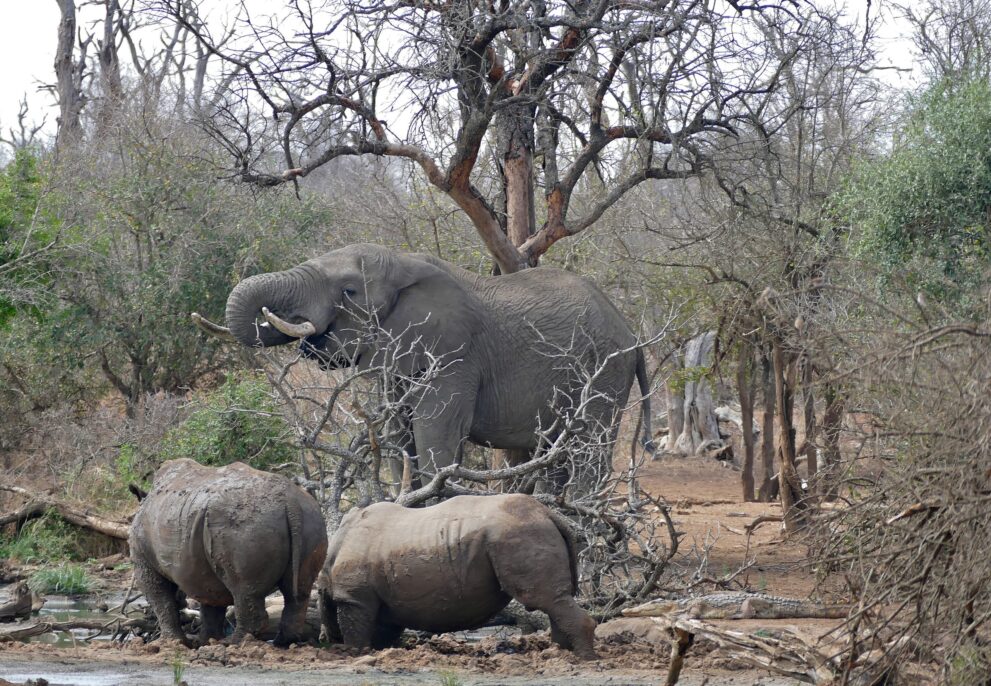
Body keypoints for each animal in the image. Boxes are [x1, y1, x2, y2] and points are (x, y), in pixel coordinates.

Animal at [129, 459, 328, 646]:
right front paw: (207, 641)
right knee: (297, 591)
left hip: (245, 527)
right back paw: (282, 642)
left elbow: (160, 599)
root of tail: (290, 502)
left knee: (243, 588)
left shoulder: (144, 559)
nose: (183, 601)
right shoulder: (200, 568)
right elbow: (211, 603)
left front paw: (172, 643)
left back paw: (234, 643)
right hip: (311, 518)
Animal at [196, 243, 653, 483]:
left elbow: (435, 436)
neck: (403, 264)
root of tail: (632, 335)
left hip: (605, 371)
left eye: (348, 291)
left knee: (588, 450)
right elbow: (398, 439)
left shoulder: (455, 355)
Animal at [318, 494, 597, 659]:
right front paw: (378, 652)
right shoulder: (385, 600)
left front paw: (356, 654)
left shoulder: (354, 597)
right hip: (528, 531)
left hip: (520, 533)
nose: (327, 640)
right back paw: (560, 653)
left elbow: (356, 631)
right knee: (555, 601)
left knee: (544, 599)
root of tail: (549, 514)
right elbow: (382, 633)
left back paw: (583, 659)